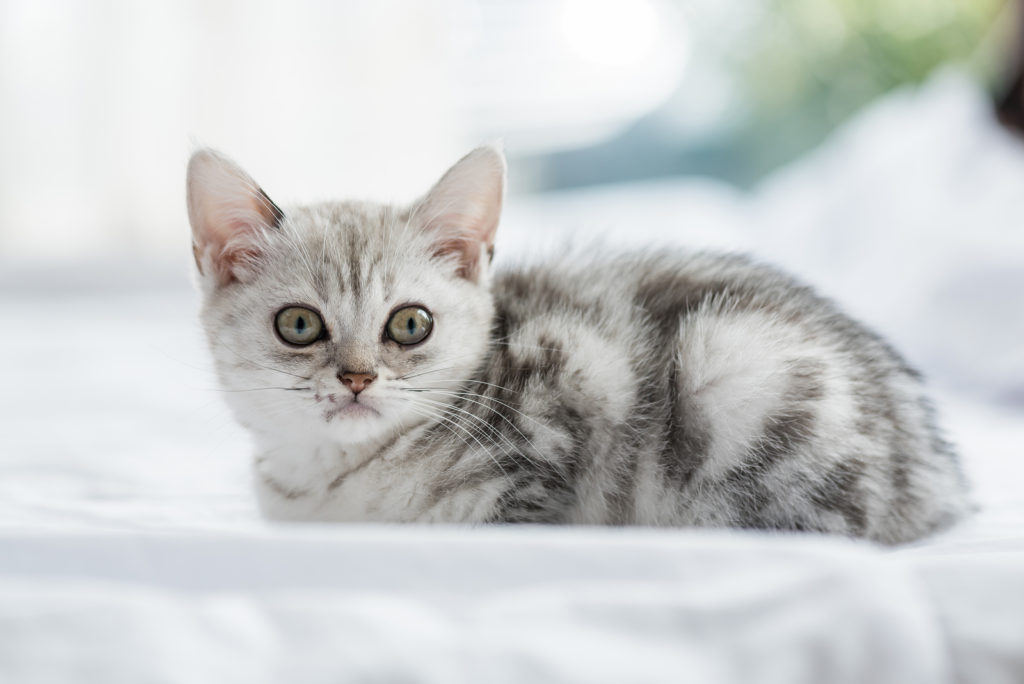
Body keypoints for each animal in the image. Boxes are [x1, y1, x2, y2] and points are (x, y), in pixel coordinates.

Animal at [186, 147, 966, 540]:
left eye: (410, 324)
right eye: (299, 325)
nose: (356, 379)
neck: (333, 484)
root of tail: (939, 482)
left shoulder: (549, 444)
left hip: (736, 368)